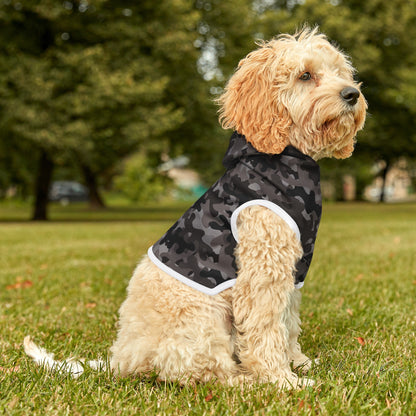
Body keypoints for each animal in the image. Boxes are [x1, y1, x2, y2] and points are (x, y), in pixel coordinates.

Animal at [24, 27, 366, 388]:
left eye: (340, 72)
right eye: (305, 75)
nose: (352, 94)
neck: (283, 156)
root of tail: (121, 359)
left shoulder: (291, 272)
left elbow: (288, 322)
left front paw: (298, 363)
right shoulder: (263, 269)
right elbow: (266, 327)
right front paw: (281, 380)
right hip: (202, 317)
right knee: (200, 371)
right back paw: (244, 380)